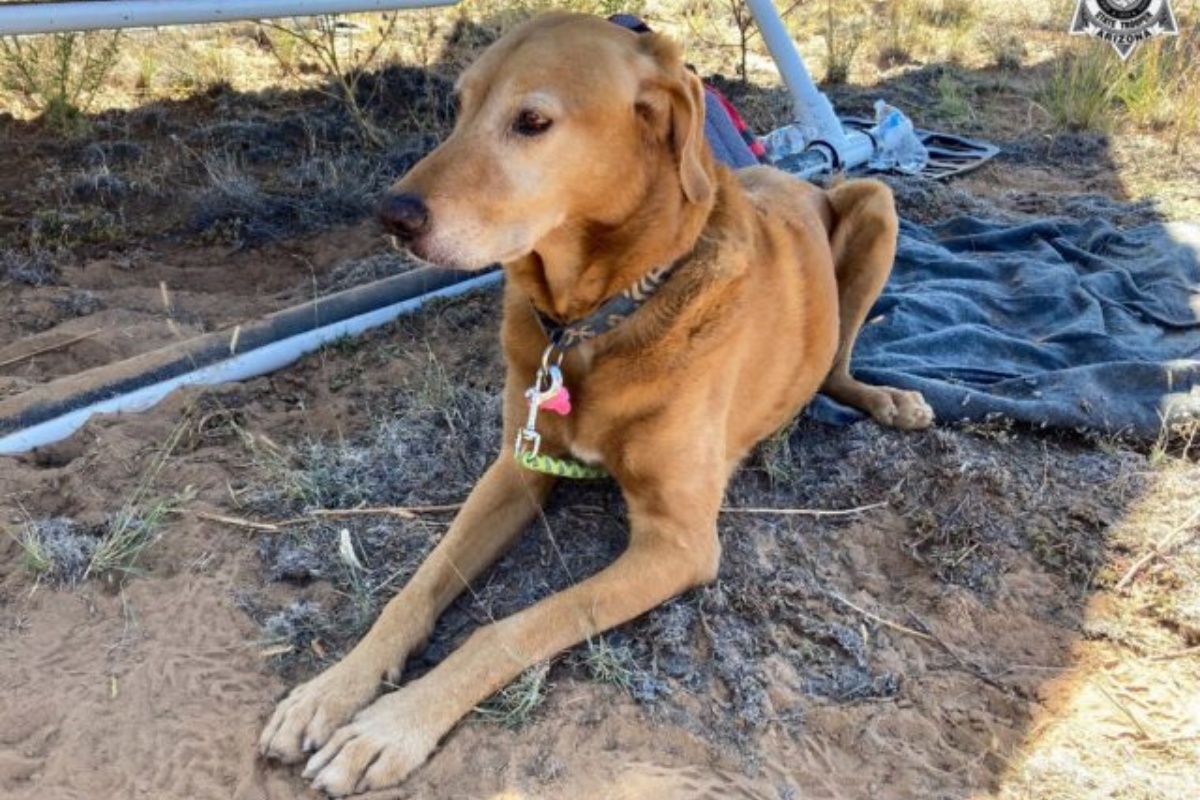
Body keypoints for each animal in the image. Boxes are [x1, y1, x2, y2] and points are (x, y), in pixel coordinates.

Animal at [258, 12, 931, 796]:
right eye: (458, 107)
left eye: (532, 121)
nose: (391, 216)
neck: (590, 321)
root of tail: (793, 175)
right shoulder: (516, 469)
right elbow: (417, 587)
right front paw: (331, 689)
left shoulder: (677, 542)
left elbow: (507, 627)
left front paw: (393, 725)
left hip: (875, 205)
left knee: (836, 368)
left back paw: (890, 399)